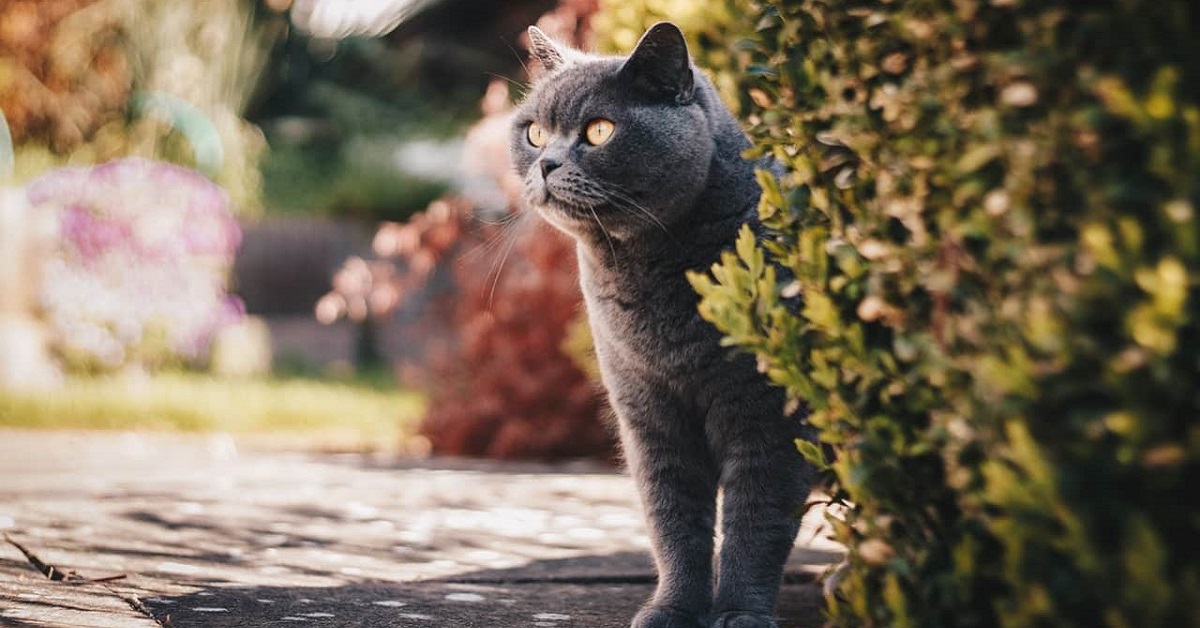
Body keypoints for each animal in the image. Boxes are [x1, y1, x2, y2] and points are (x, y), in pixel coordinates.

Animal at [511, 20, 820, 628]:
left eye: (599, 130)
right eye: (534, 132)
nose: (545, 164)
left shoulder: (771, 416)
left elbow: (757, 523)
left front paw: (740, 613)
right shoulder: (649, 413)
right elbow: (674, 522)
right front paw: (673, 609)